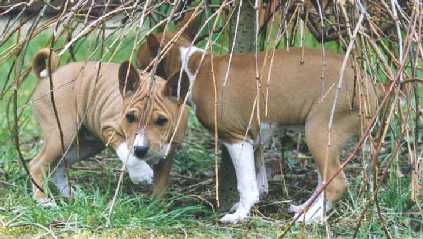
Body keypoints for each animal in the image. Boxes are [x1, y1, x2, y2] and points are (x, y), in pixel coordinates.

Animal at [30, 49, 189, 205]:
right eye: (130, 117)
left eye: (162, 121)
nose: (140, 150)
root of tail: (50, 74)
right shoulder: (108, 129)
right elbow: (127, 153)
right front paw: (141, 174)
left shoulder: (170, 152)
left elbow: (161, 185)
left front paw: (156, 206)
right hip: (62, 134)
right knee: (36, 164)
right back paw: (43, 199)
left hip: (86, 146)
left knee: (59, 165)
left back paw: (70, 195)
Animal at [137, 32, 378, 224]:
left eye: (141, 65)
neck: (196, 70)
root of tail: (368, 83)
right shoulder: (256, 138)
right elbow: (259, 178)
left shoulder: (237, 139)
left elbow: (247, 185)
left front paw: (239, 215)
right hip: (323, 139)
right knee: (324, 180)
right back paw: (306, 209)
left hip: (319, 132)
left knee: (336, 183)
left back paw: (311, 217)